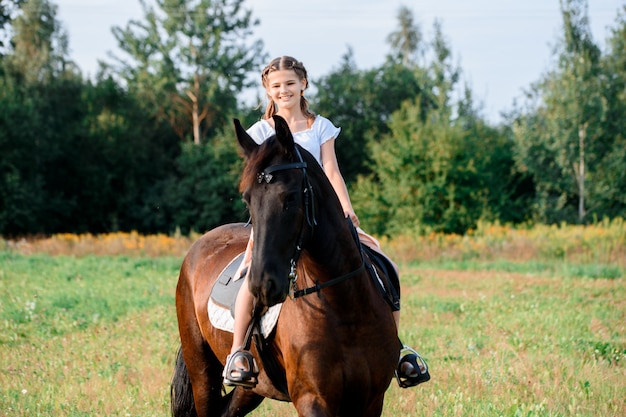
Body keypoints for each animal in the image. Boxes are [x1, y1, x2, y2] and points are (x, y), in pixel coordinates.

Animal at [168, 114, 398, 416]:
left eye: (290, 197)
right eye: (247, 199)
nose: (262, 284)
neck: (344, 308)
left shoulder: (371, 400)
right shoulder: (312, 399)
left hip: (251, 389)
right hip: (202, 372)